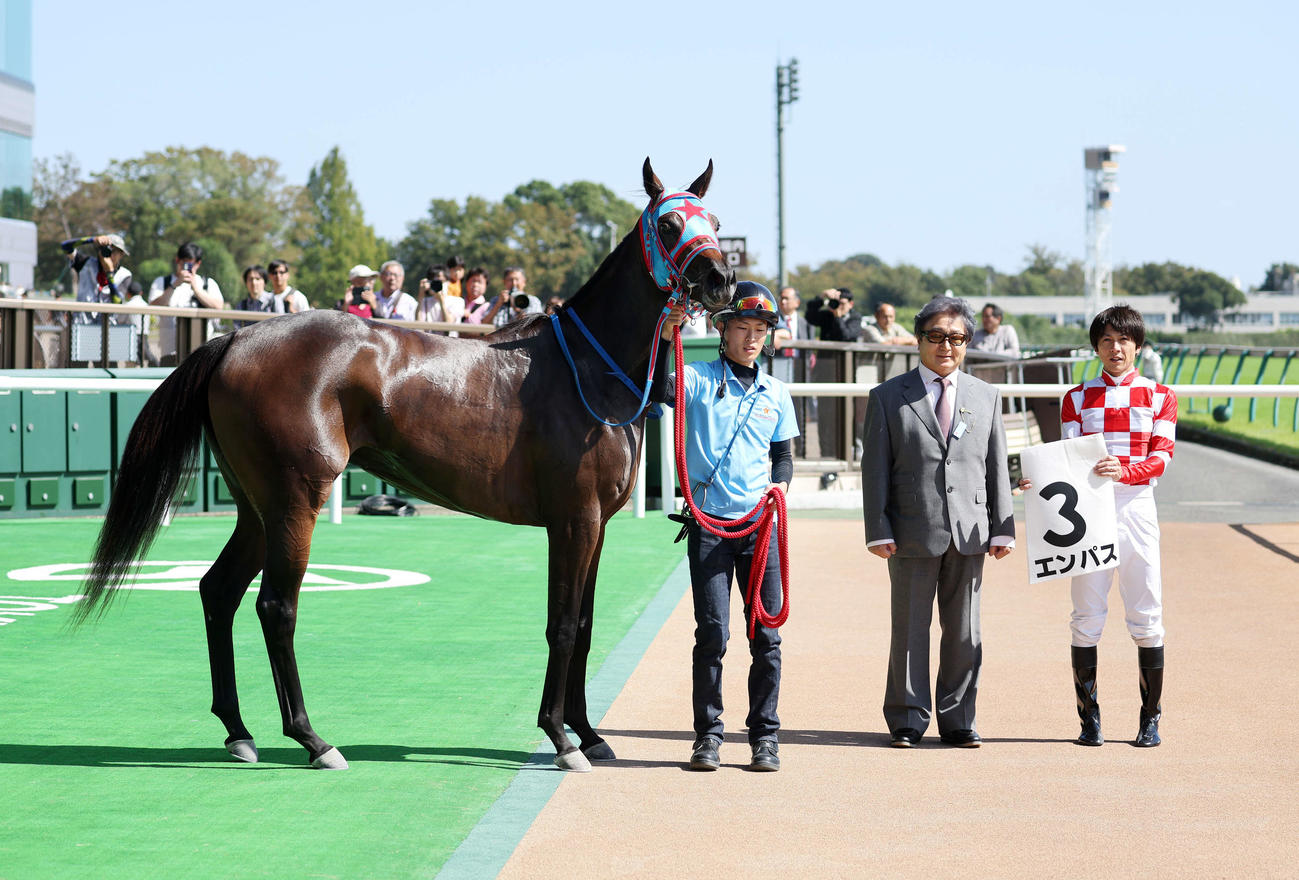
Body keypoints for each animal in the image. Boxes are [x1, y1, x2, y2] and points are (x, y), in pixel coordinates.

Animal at [73, 159, 735, 773]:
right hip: (294, 501)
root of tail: (233, 341)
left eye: (715, 222)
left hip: (256, 508)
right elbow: (565, 624)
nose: (722, 279)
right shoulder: (574, 520)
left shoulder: (595, 526)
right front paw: (560, 737)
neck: (589, 371)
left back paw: (239, 732)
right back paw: (314, 740)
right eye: (668, 224)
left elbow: (588, 623)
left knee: (218, 591)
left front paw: (590, 734)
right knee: (275, 607)